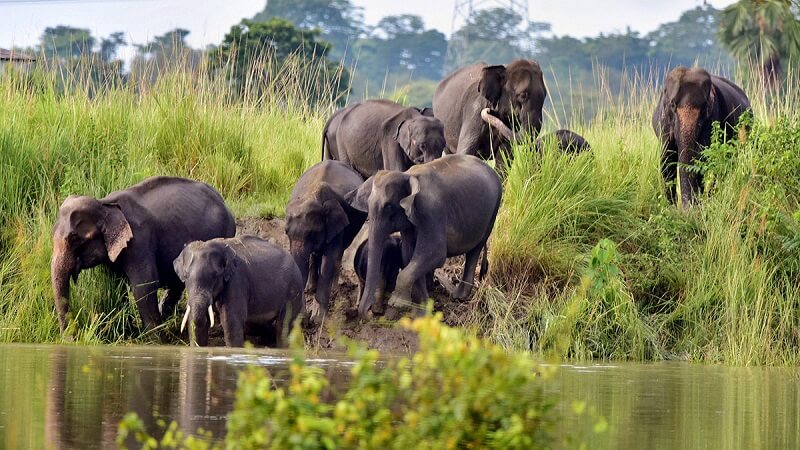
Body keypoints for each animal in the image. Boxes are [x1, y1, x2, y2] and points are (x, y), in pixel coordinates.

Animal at [51, 176, 235, 333]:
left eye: (74, 239)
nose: (72, 337)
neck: (105, 204)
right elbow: (115, 285)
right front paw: (128, 330)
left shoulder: (140, 240)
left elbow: (144, 286)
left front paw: (153, 339)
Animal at [172, 235, 303, 347]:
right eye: (186, 276)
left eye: (215, 276)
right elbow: (192, 321)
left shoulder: (237, 280)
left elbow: (231, 321)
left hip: (293, 291)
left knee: (283, 326)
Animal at [285, 160, 367, 324]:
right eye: (286, 233)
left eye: (311, 233)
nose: (304, 320)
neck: (312, 195)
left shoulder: (337, 224)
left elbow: (328, 260)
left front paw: (317, 318)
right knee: (315, 255)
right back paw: (310, 288)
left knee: (339, 252)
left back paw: (333, 290)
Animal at [346, 154, 503, 318]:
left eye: (388, 206)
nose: (370, 312)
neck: (407, 175)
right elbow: (409, 255)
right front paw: (422, 311)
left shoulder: (431, 211)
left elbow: (434, 253)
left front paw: (397, 303)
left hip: (493, 212)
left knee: (474, 251)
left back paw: (459, 297)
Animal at [653, 66, 751, 207]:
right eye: (672, 105)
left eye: (704, 109)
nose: (686, 208)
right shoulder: (663, 125)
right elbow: (667, 159)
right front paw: (669, 207)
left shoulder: (713, 119)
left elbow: (700, 157)